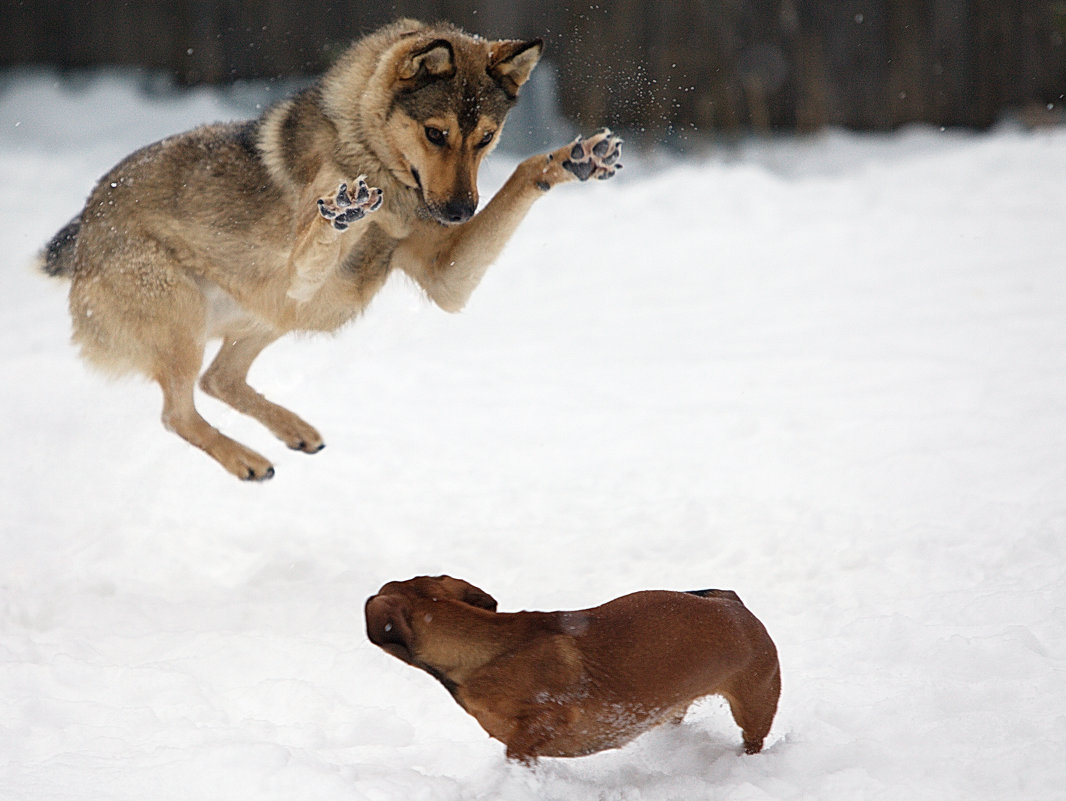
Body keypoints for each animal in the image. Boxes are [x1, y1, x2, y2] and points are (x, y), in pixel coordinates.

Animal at [43, 18, 622, 479]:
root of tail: (84, 225)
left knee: (217, 380)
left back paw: (293, 430)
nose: (459, 213)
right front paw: (343, 208)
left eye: (485, 138)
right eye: (436, 134)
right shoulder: (297, 274)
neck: (373, 153)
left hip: (268, 317)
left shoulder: (444, 277)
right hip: (188, 313)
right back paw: (246, 460)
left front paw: (574, 160)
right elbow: (320, 233)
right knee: (177, 412)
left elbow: (525, 170)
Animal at [368, 575, 784, 763]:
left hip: (755, 707)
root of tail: (732, 603)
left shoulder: (550, 718)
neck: (490, 647)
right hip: (675, 706)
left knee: (753, 739)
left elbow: (517, 747)